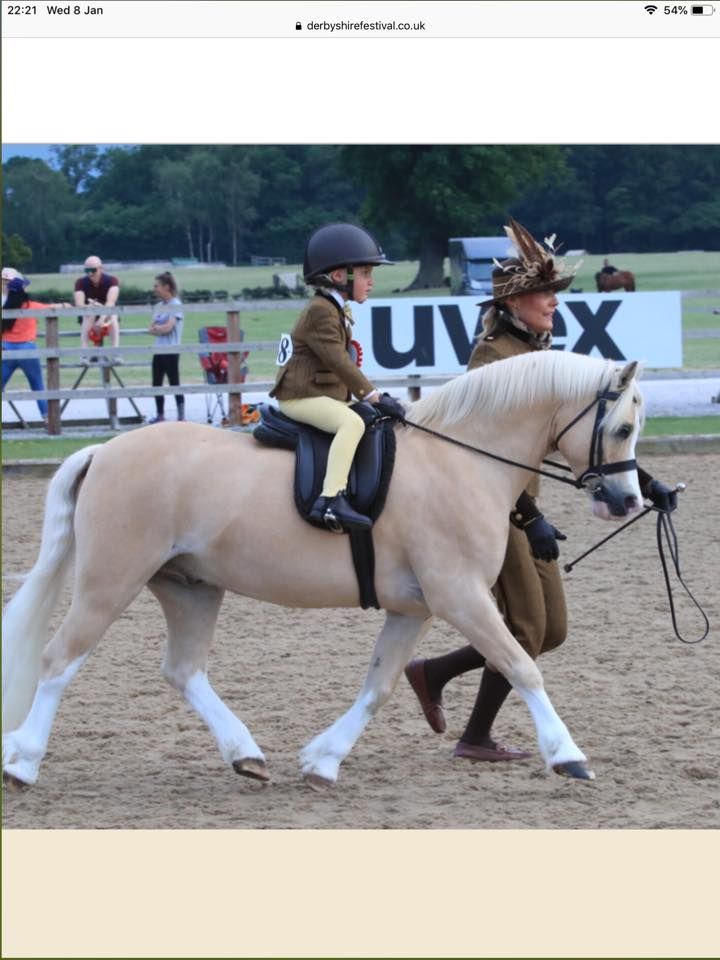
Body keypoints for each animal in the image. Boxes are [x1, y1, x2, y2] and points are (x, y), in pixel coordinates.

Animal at [2, 350, 644, 788]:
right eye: (622, 428)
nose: (627, 500)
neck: (459, 459)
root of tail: (104, 451)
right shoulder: (459, 595)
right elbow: (520, 666)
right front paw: (568, 756)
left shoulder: (415, 608)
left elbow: (379, 686)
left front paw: (322, 760)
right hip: (110, 583)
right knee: (58, 660)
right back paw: (24, 762)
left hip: (191, 588)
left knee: (183, 671)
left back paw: (245, 754)